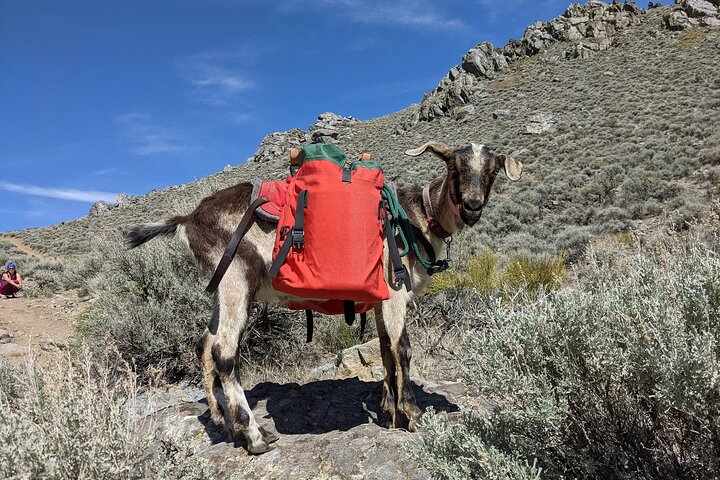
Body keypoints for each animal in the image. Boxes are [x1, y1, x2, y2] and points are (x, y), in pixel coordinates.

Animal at [128, 140, 522, 454]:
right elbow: (403, 348)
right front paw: (411, 414)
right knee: (224, 351)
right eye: (454, 165)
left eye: (492, 170)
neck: (415, 218)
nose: (472, 206)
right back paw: (255, 436)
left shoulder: (378, 299)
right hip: (236, 278)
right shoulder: (396, 289)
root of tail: (188, 218)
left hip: (222, 287)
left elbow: (385, 348)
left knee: (205, 344)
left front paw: (389, 410)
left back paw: (224, 424)